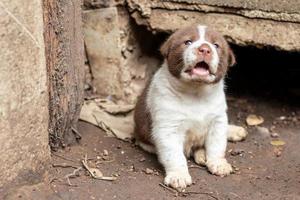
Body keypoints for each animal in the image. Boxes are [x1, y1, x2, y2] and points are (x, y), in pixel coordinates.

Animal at [135, 25, 247, 191]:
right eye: (188, 42)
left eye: (216, 45)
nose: (205, 49)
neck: (196, 93)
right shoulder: (168, 128)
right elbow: (174, 155)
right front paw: (178, 175)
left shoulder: (218, 120)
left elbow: (217, 144)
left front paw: (218, 163)